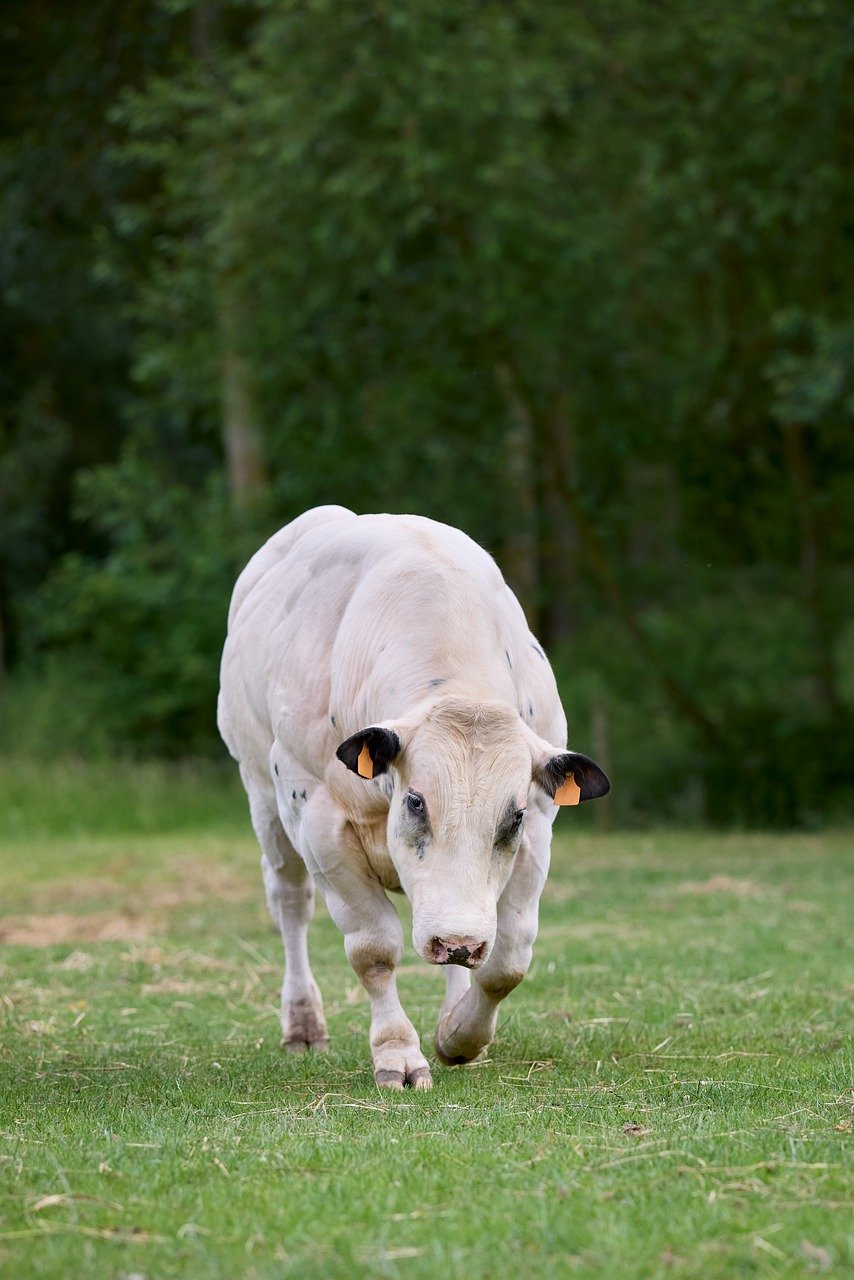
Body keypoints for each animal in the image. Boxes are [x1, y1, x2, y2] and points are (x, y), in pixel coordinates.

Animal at [217, 506, 610, 1089]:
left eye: (513, 817)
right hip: (263, 799)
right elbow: (373, 948)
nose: (459, 941)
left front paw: (461, 1035)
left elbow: (509, 956)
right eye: (416, 802)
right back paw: (304, 1023)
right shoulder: (318, 820)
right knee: (289, 901)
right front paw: (398, 1054)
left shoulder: (540, 828)